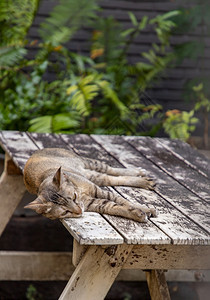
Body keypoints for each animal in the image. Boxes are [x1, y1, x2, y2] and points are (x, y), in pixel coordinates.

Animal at [24, 148, 156, 223]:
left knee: (111, 172)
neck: (80, 192)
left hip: (91, 165)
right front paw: (138, 214)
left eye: (74, 197)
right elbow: (115, 207)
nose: (79, 211)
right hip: (94, 176)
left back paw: (140, 175)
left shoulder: (99, 191)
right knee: (111, 178)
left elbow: (124, 201)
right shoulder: (94, 203)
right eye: (65, 212)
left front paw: (146, 209)